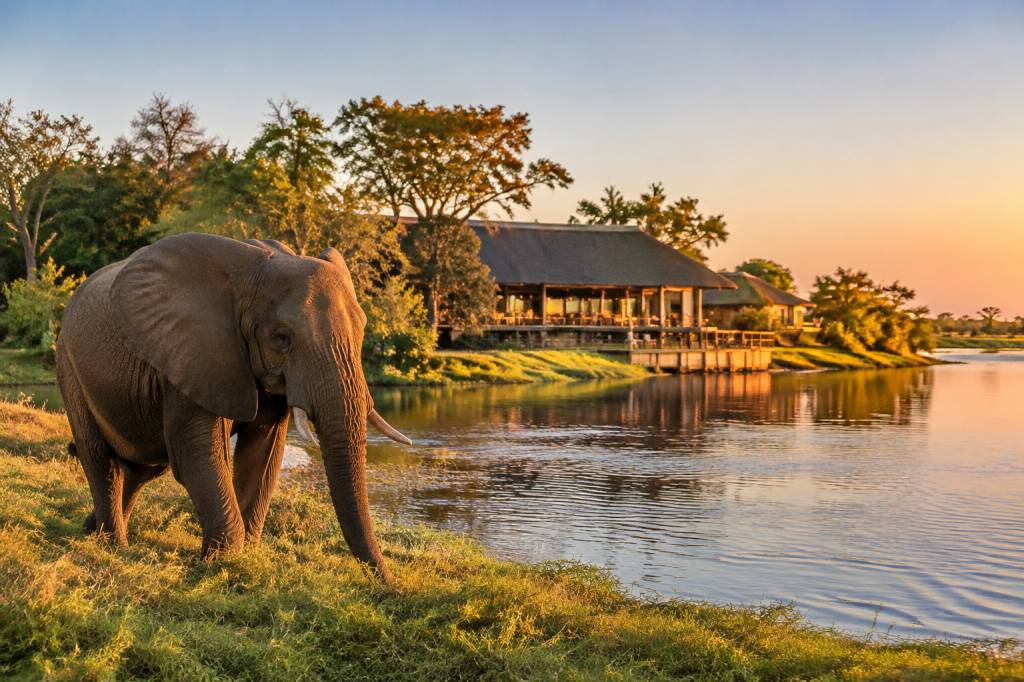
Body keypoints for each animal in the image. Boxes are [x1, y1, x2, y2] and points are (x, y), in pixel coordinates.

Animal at [55, 232, 410, 580]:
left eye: (362, 331)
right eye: (282, 338)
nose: (390, 583)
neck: (256, 271)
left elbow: (264, 454)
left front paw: (244, 555)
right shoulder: (195, 352)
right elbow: (199, 453)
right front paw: (220, 561)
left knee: (144, 468)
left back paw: (92, 531)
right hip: (69, 366)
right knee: (101, 459)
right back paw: (112, 544)